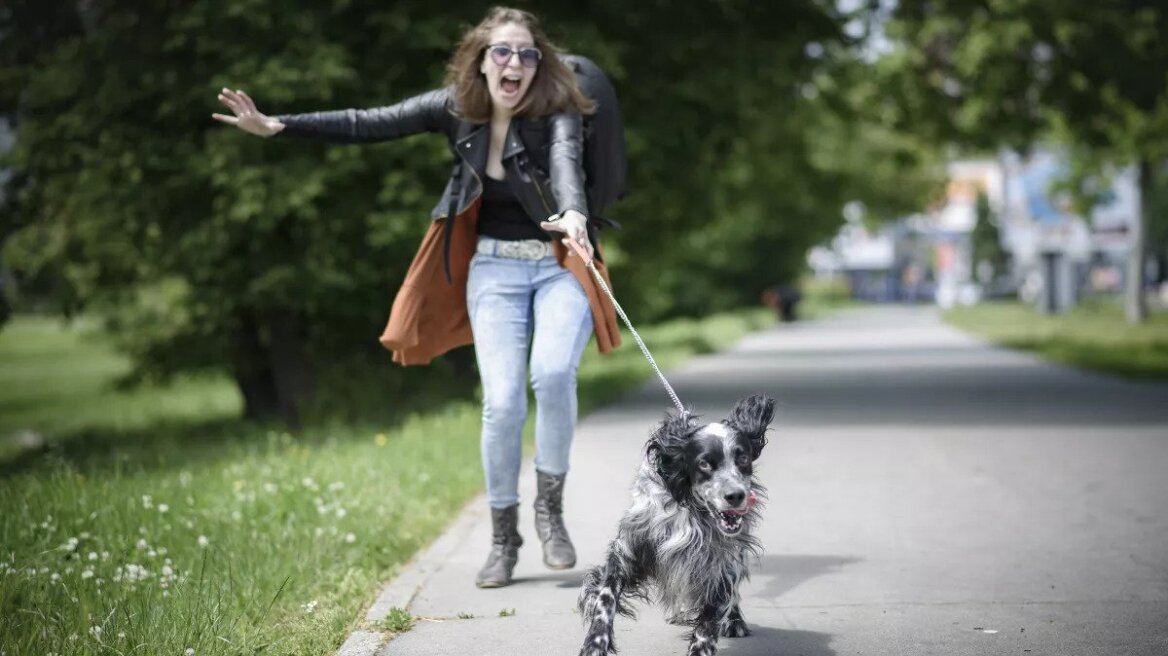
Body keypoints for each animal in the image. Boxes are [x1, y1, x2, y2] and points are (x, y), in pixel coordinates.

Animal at [576, 392, 775, 653]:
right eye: (704, 463)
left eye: (743, 458)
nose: (736, 496)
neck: (691, 509)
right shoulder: (627, 551)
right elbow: (604, 599)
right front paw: (595, 643)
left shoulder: (719, 564)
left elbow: (709, 620)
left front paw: (702, 645)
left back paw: (734, 621)